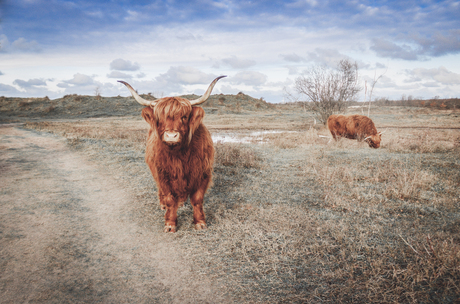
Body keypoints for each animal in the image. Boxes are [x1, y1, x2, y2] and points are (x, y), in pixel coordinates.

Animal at [118, 76, 226, 233]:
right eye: (159, 117)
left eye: (184, 117)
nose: (171, 136)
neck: (179, 155)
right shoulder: (163, 174)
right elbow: (169, 198)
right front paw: (170, 224)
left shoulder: (203, 173)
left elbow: (197, 199)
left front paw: (200, 222)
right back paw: (163, 205)